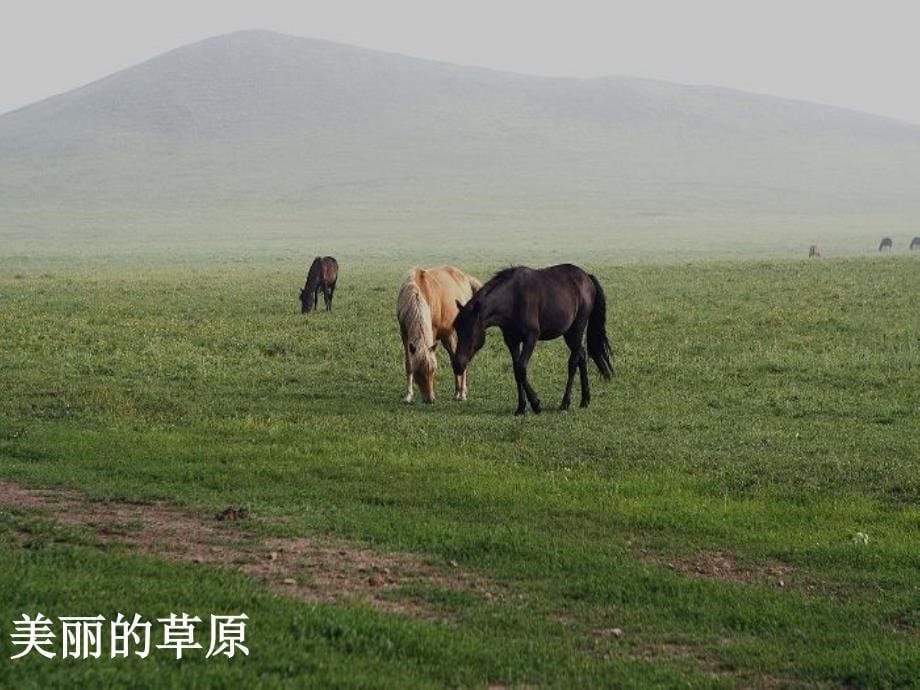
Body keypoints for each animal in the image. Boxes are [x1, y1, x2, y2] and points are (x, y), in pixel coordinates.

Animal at [396, 264, 482, 404]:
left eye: (433, 370)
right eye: (417, 372)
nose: (430, 399)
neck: (417, 291)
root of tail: (465, 277)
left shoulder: (433, 331)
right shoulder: (405, 335)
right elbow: (408, 364)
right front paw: (408, 395)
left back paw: (462, 393)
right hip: (447, 336)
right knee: (454, 358)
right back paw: (457, 392)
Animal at [452, 264, 616, 414]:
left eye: (470, 331)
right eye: (457, 329)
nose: (457, 364)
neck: (512, 299)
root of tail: (587, 277)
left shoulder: (531, 337)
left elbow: (521, 368)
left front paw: (536, 404)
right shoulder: (512, 340)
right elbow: (516, 371)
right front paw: (521, 407)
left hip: (576, 329)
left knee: (574, 361)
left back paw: (565, 403)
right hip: (569, 333)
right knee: (581, 356)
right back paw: (585, 400)